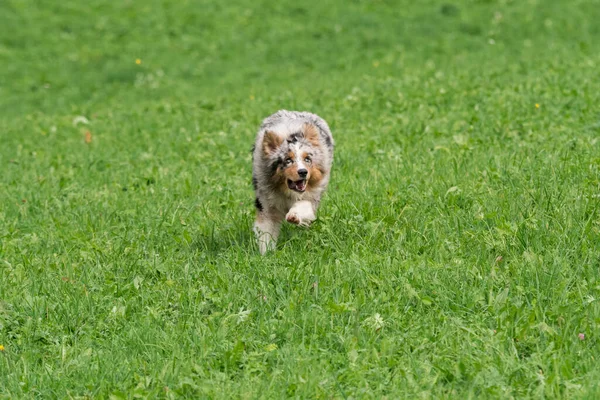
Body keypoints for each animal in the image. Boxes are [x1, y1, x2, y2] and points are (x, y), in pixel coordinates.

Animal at [252, 110, 332, 253]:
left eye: (307, 159)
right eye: (288, 160)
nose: (303, 172)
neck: (288, 191)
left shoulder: (312, 196)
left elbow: (304, 205)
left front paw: (294, 216)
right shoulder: (266, 204)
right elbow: (266, 231)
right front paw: (266, 254)